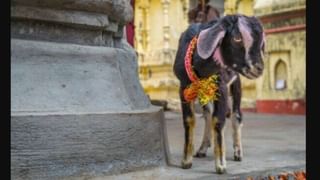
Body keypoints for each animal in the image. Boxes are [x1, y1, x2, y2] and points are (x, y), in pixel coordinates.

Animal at [174, 14, 264, 174]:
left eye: (261, 42)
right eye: (237, 38)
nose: (259, 68)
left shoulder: (221, 87)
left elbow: (219, 120)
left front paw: (221, 166)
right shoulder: (183, 87)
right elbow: (189, 120)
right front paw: (186, 161)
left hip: (235, 83)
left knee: (236, 114)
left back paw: (238, 153)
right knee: (208, 114)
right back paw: (202, 149)